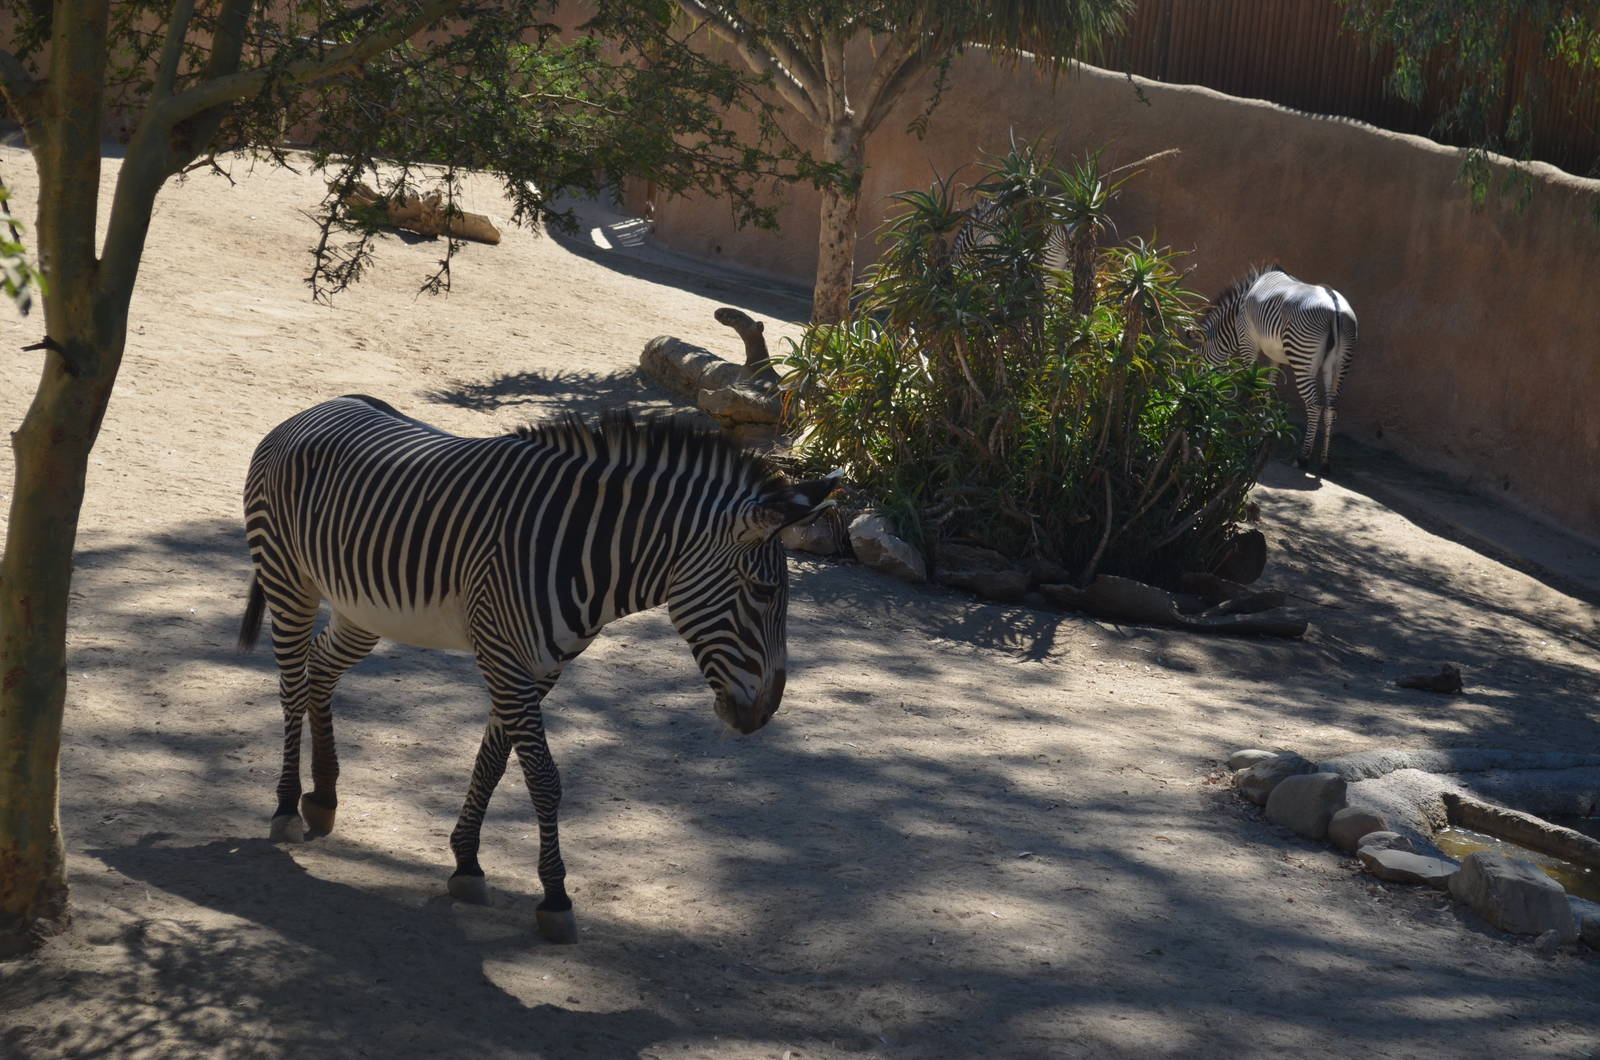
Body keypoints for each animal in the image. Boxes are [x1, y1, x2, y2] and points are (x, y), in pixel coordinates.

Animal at [238, 395, 839, 943]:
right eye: (763, 591)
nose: (763, 715)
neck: (588, 551)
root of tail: (314, 409)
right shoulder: (504, 656)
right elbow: (544, 779)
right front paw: (554, 897)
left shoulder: (541, 668)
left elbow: (493, 763)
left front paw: (467, 863)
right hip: (289, 581)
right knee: (292, 687)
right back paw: (287, 805)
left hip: (362, 609)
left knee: (320, 671)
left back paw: (323, 798)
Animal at [1194, 265, 1358, 473]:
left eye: (1198, 360)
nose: (1199, 392)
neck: (1237, 311)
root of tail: (1335, 305)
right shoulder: (1275, 355)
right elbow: (1270, 388)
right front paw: (1265, 423)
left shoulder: (1248, 343)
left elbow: (1252, 385)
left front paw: (1244, 423)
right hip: (1339, 363)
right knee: (1331, 409)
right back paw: (1324, 463)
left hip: (1303, 357)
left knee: (1314, 406)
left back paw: (1303, 458)